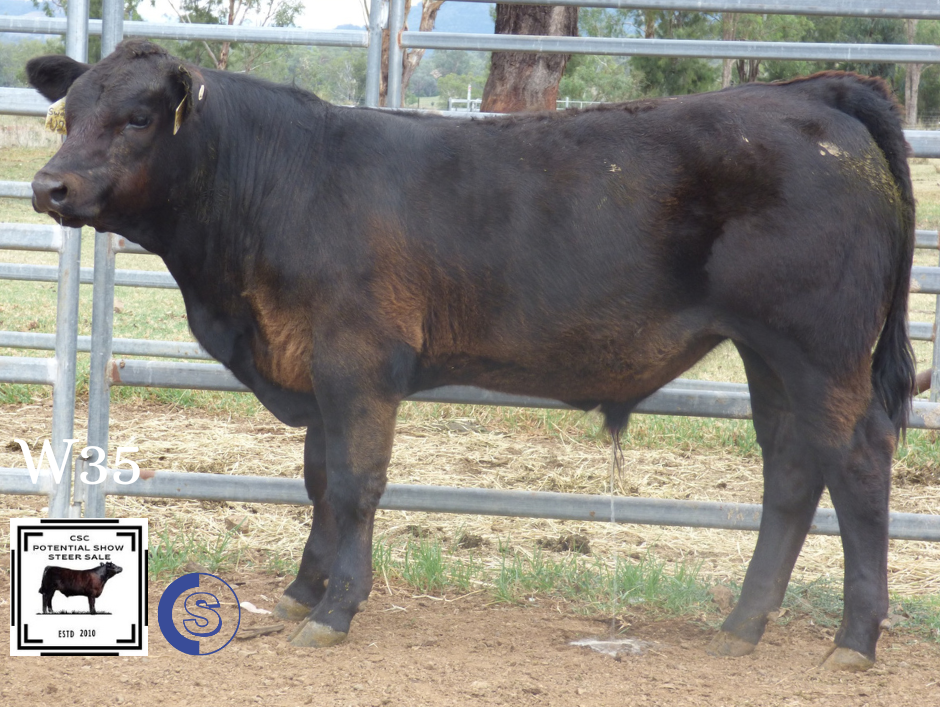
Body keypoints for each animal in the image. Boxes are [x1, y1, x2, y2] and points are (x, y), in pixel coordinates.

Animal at [26, 40, 916, 671]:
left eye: (139, 117)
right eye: (67, 113)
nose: (48, 186)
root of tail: (806, 92)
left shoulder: (359, 358)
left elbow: (355, 483)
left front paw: (336, 609)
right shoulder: (313, 365)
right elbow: (319, 480)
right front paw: (301, 592)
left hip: (821, 346)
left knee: (858, 463)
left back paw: (854, 640)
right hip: (770, 354)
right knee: (792, 468)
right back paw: (741, 624)